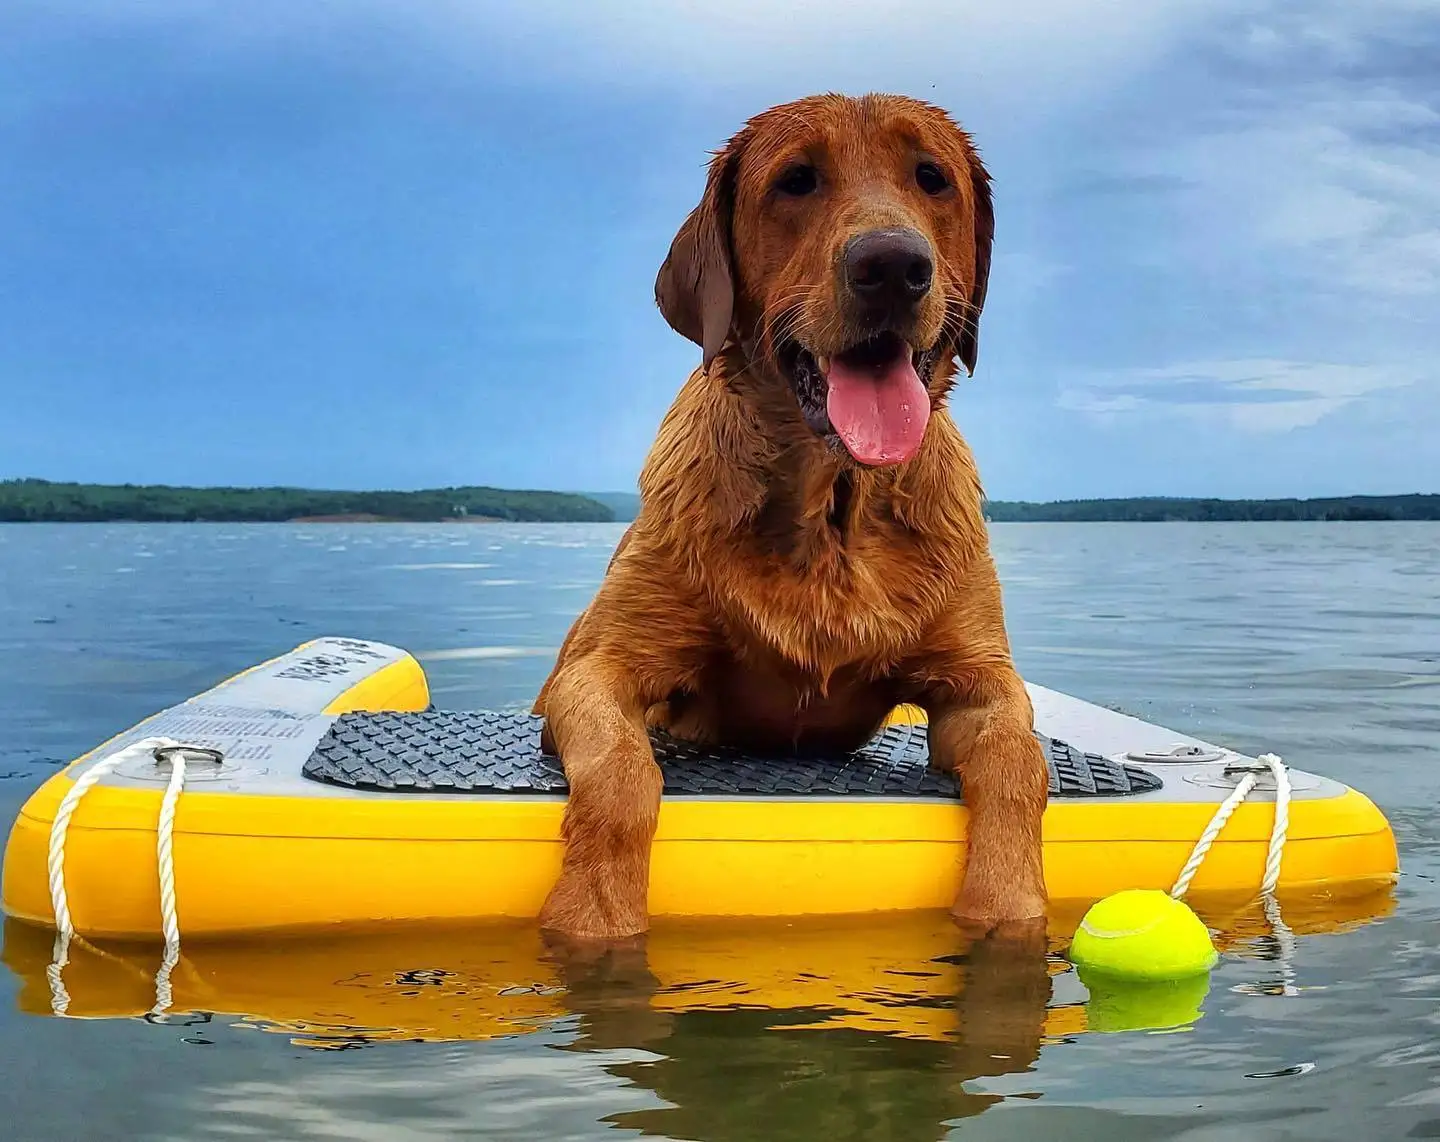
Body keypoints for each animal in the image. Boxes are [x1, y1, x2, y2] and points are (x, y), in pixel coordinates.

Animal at [529, 93, 1048, 938]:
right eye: (796, 180)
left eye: (931, 177)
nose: (892, 267)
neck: (833, 508)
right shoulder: (596, 669)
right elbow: (619, 772)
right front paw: (595, 912)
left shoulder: (982, 680)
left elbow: (1019, 763)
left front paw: (1007, 906)